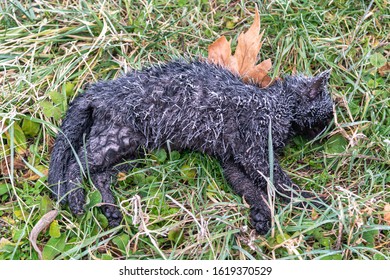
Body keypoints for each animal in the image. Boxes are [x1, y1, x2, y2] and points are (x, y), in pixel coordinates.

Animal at [48, 60, 332, 234]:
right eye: (326, 115)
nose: (324, 133)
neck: (274, 105)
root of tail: (98, 90)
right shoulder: (254, 152)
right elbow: (279, 181)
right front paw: (314, 202)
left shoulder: (233, 159)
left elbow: (250, 188)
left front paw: (262, 215)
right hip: (115, 137)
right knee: (75, 162)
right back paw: (76, 199)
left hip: (127, 145)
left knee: (99, 174)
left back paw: (111, 210)